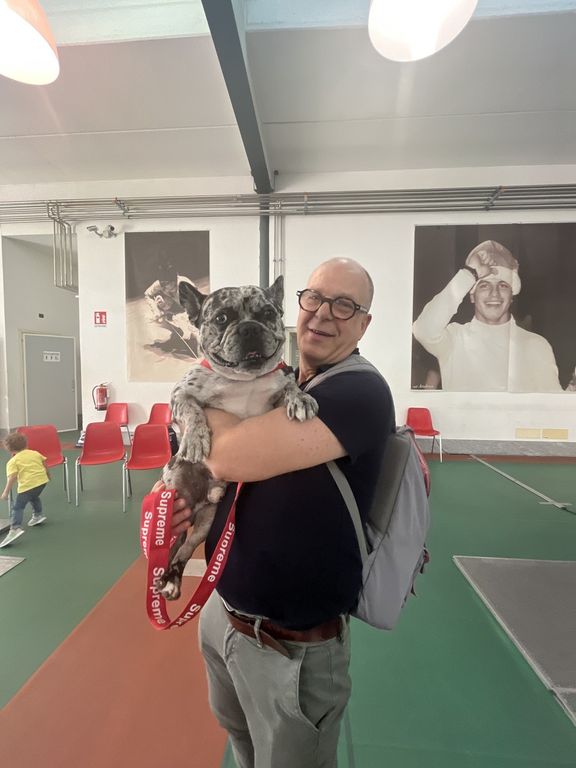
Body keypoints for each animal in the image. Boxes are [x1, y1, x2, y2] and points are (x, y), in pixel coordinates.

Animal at [157, 275, 318, 599]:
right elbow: (192, 410)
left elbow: (290, 387)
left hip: (206, 523)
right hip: (176, 493)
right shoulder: (180, 394)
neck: (244, 379)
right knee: (175, 543)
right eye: (221, 318)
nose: (249, 327)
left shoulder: (279, 387)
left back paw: (174, 578)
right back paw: (167, 579)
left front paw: (301, 398)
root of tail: (202, 497)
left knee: (185, 548)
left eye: (267, 313)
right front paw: (195, 439)